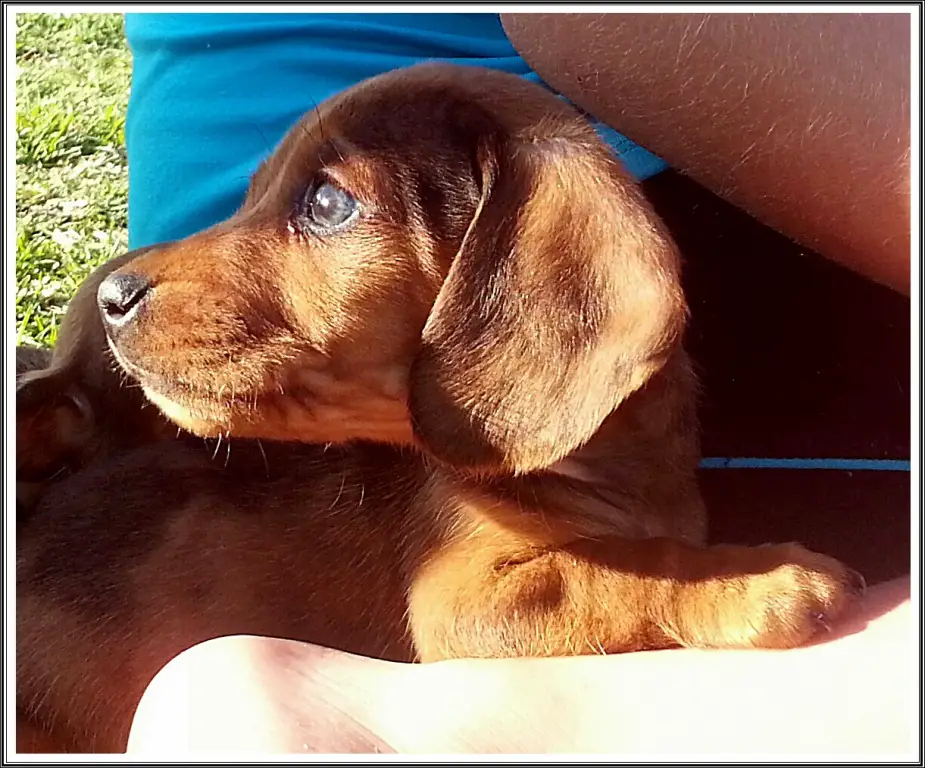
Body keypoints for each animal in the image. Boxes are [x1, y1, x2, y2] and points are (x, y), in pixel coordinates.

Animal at [16, 63, 868, 752]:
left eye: (326, 202)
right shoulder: (460, 605)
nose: (113, 296)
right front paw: (761, 578)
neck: (602, 475)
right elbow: (607, 573)